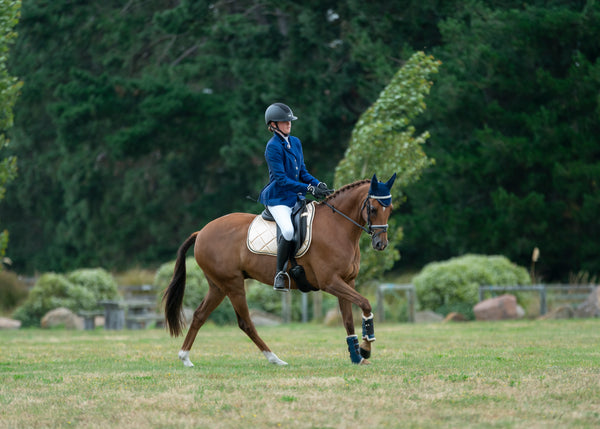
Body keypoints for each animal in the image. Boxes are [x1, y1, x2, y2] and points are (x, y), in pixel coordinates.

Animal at [164, 172, 396, 366]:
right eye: (373, 209)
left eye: (390, 209)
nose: (380, 244)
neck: (337, 226)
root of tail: (201, 232)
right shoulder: (330, 282)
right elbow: (365, 303)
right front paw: (366, 347)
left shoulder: (347, 281)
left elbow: (348, 319)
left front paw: (357, 355)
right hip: (233, 284)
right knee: (245, 323)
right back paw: (274, 358)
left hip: (218, 286)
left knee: (199, 315)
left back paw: (185, 358)